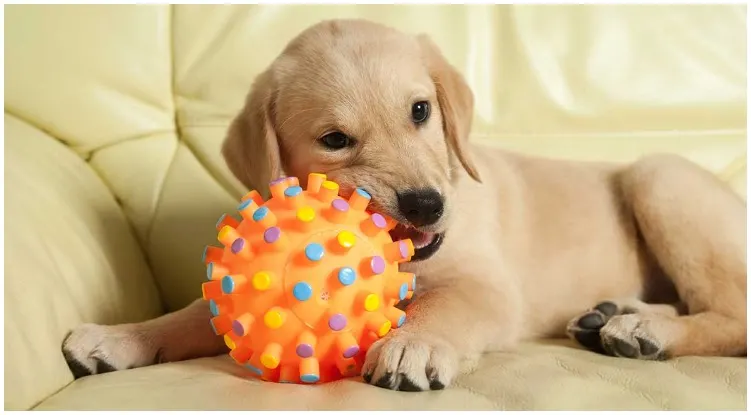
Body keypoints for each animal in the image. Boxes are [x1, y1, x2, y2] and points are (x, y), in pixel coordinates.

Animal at [63, 17, 748, 394]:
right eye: (335, 140)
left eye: (421, 111)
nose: (424, 204)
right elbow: (189, 316)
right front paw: (119, 337)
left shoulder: (485, 288)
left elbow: (439, 308)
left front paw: (411, 346)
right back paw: (612, 314)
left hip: (659, 177)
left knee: (731, 315)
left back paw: (642, 330)